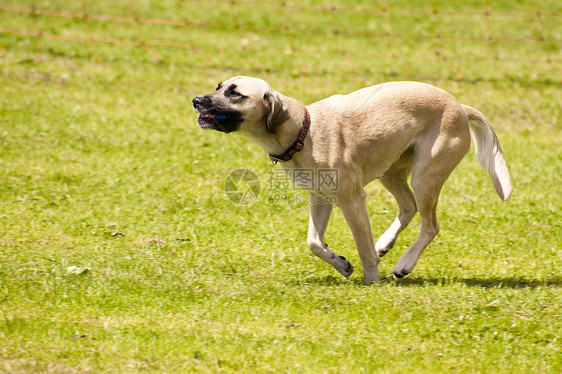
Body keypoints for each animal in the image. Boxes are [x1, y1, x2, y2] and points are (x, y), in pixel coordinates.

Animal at [191, 76, 508, 284]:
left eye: (235, 94)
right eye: (219, 87)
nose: (196, 100)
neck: (303, 132)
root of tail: (460, 107)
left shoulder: (352, 200)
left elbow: (362, 246)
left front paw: (372, 278)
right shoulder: (320, 198)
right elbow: (313, 242)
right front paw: (342, 265)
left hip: (425, 176)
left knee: (430, 226)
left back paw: (404, 264)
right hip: (391, 171)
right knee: (408, 207)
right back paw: (385, 243)